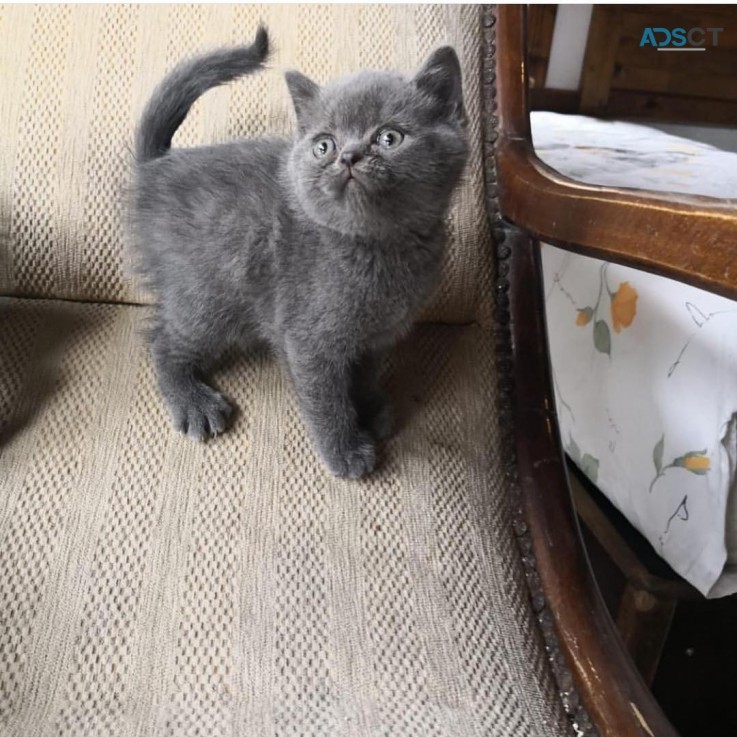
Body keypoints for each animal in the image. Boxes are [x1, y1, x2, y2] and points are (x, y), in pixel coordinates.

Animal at [131, 25, 466, 478]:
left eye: (389, 137)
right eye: (324, 145)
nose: (348, 157)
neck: (377, 250)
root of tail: (154, 169)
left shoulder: (379, 334)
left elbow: (365, 374)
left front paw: (370, 409)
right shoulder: (308, 339)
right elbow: (326, 399)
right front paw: (345, 449)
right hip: (208, 294)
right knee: (164, 339)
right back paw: (193, 401)